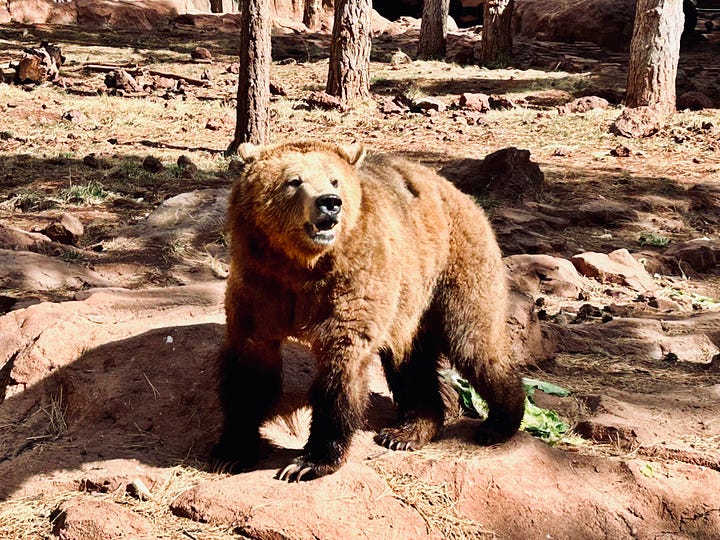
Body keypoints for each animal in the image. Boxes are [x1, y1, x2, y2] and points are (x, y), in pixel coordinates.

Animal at [212, 140, 526, 482]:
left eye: (334, 180)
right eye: (294, 180)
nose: (330, 203)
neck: (301, 266)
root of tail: (459, 193)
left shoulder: (353, 283)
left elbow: (341, 370)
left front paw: (308, 462)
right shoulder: (261, 287)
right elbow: (250, 368)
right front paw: (232, 452)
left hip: (454, 268)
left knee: (474, 342)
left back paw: (499, 423)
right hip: (410, 298)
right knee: (411, 362)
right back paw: (408, 431)